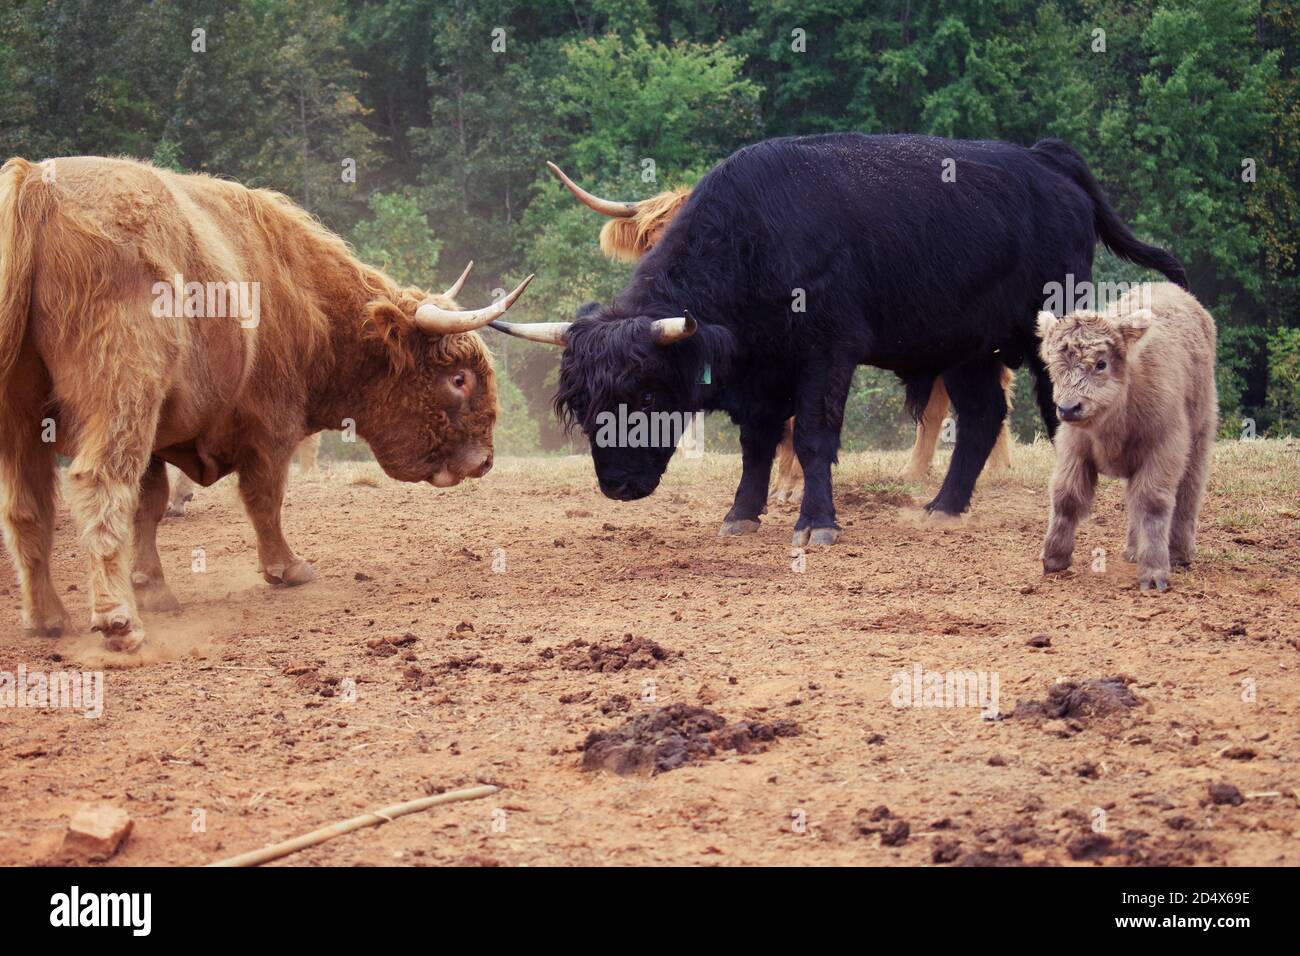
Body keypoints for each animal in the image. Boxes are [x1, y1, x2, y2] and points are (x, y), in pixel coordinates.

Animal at [496, 133, 1190, 546]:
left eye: (644, 397)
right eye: (583, 405)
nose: (616, 485)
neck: (756, 237)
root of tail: (1048, 160)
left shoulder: (827, 353)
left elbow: (812, 437)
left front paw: (816, 523)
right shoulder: (762, 372)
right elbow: (757, 444)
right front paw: (742, 514)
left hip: (1049, 328)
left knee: (1055, 412)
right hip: (967, 348)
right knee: (982, 415)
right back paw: (944, 505)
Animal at [1034, 283, 1216, 595]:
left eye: (1101, 364)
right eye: (1054, 366)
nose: (1069, 408)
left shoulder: (1164, 449)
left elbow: (1153, 503)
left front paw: (1154, 571)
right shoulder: (1073, 447)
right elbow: (1066, 495)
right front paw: (1054, 558)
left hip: (1198, 439)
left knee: (1187, 492)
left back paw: (1179, 553)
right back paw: (1132, 550)